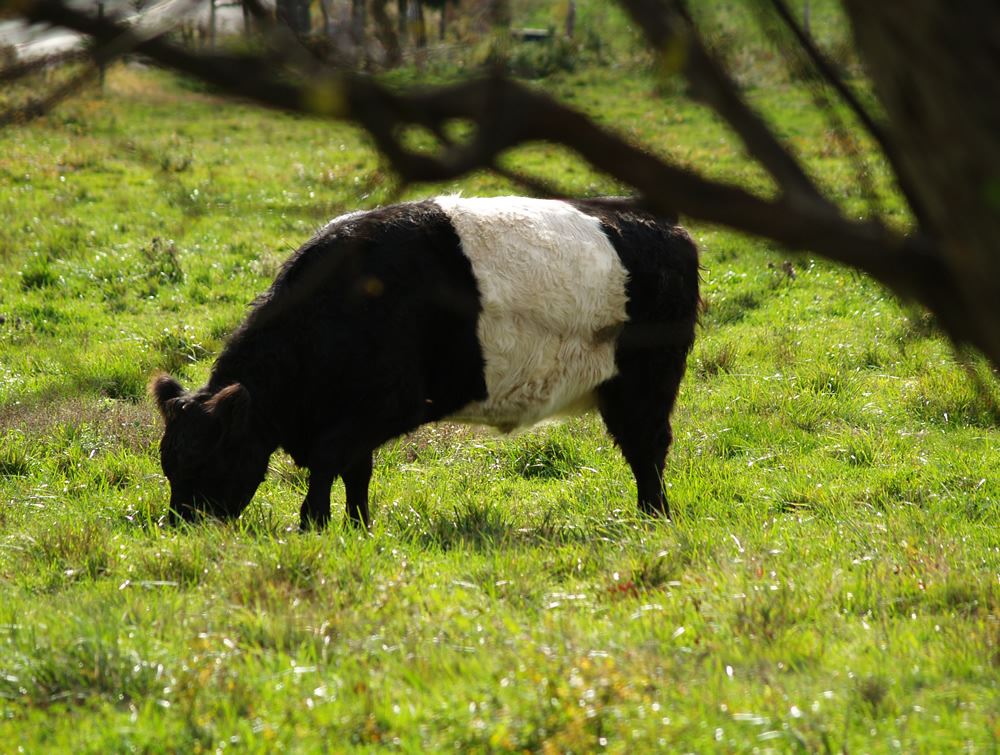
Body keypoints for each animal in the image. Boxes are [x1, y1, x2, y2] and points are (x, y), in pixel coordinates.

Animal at [151, 196, 699, 529]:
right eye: (168, 464)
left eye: (208, 458)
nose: (180, 525)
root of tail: (668, 228)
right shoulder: (354, 416)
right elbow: (357, 472)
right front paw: (358, 527)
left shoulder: (390, 404)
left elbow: (329, 463)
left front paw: (311, 524)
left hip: (646, 384)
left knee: (648, 450)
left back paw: (653, 517)